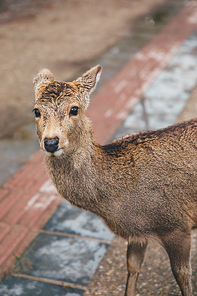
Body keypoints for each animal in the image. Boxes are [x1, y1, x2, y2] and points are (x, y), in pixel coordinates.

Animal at [33, 65, 197, 296]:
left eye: (74, 109)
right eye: (36, 111)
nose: (51, 142)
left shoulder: (177, 224)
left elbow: (182, 274)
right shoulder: (137, 234)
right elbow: (132, 268)